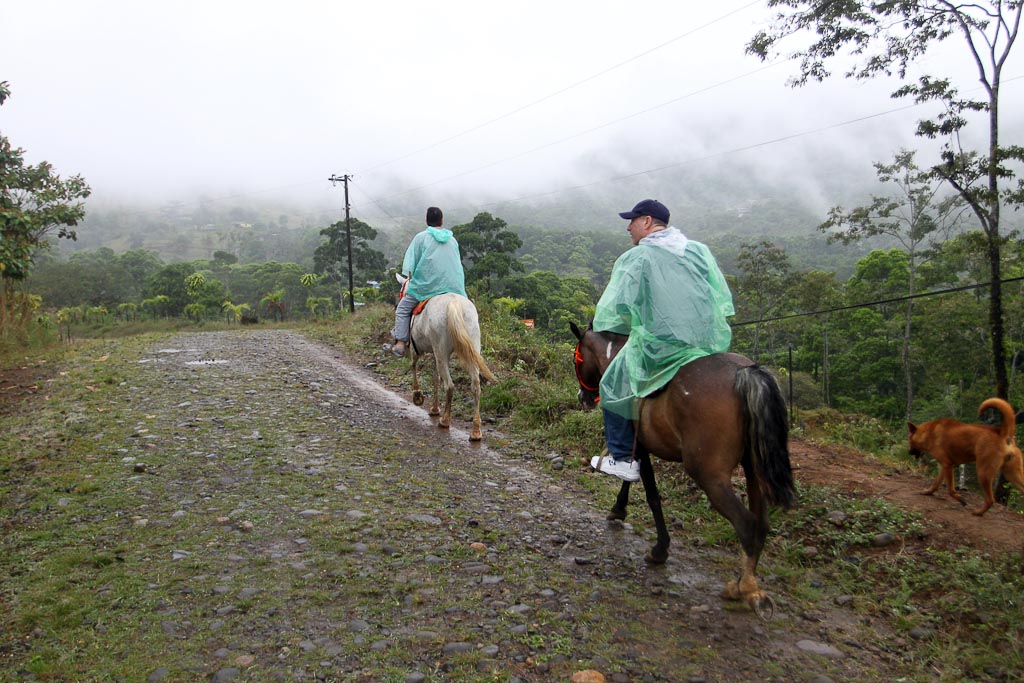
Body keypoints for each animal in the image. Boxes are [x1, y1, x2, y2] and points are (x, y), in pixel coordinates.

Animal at [395, 274, 495, 440]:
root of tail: (454, 303)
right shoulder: (435, 354)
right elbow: (435, 378)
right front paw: (434, 408)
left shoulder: (417, 350)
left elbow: (414, 366)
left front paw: (417, 395)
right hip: (471, 346)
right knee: (475, 385)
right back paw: (475, 430)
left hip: (441, 350)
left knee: (449, 385)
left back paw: (445, 420)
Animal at [573, 321, 794, 614]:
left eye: (577, 358)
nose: (583, 397)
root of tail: (744, 372)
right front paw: (619, 510)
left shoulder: (638, 444)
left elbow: (650, 494)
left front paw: (659, 549)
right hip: (753, 466)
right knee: (762, 523)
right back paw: (750, 581)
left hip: (708, 473)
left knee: (746, 523)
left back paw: (743, 587)